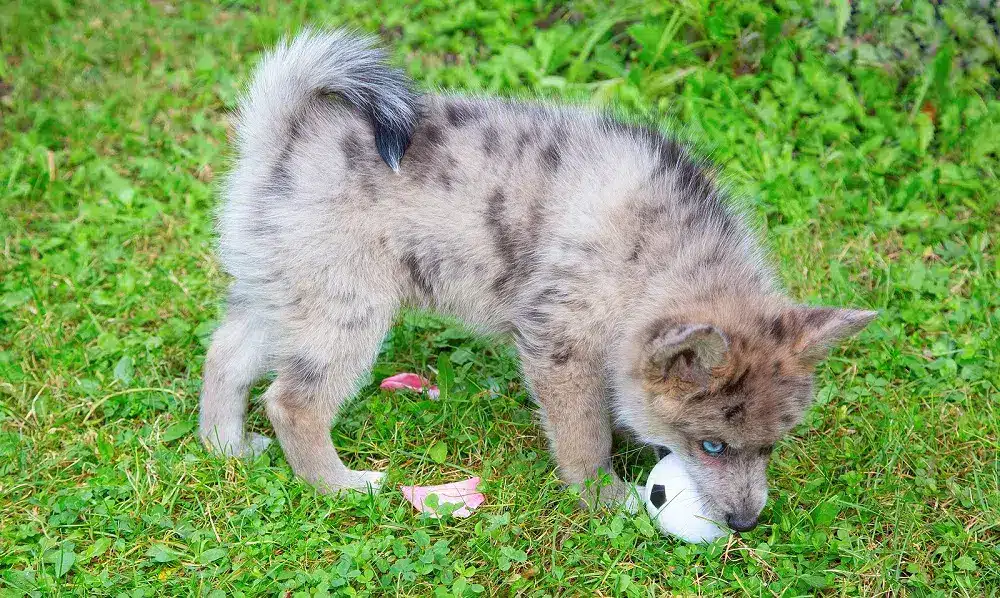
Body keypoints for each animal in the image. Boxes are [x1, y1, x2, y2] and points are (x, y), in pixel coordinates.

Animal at [203, 30, 876, 532]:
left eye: (771, 445)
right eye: (712, 446)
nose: (745, 523)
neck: (656, 257)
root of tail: (283, 142)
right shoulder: (562, 346)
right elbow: (583, 437)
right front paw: (605, 499)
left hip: (283, 293)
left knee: (225, 357)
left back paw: (226, 447)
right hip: (346, 310)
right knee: (292, 402)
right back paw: (341, 486)